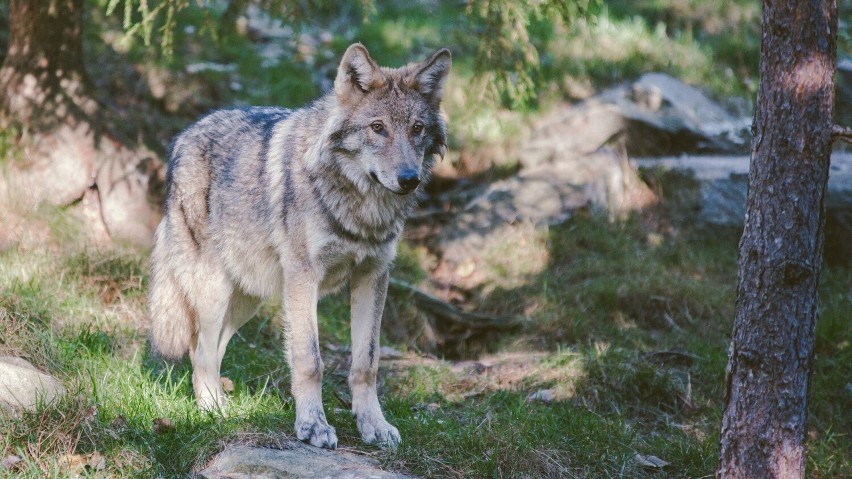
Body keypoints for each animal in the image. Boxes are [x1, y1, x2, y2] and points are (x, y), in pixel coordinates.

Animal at [146, 44, 452, 450]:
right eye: (377, 128)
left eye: (417, 129)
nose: (409, 179)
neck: (361, 209)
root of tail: (182, 137)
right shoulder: (305, 277)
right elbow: (310, 360)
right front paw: (312, 426)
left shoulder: (373, 275)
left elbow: (366, 363)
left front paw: (373, 425)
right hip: (214, 291)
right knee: (200, 350)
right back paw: (213, 410)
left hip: (248, 298)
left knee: (215, 347)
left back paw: (225, 405)